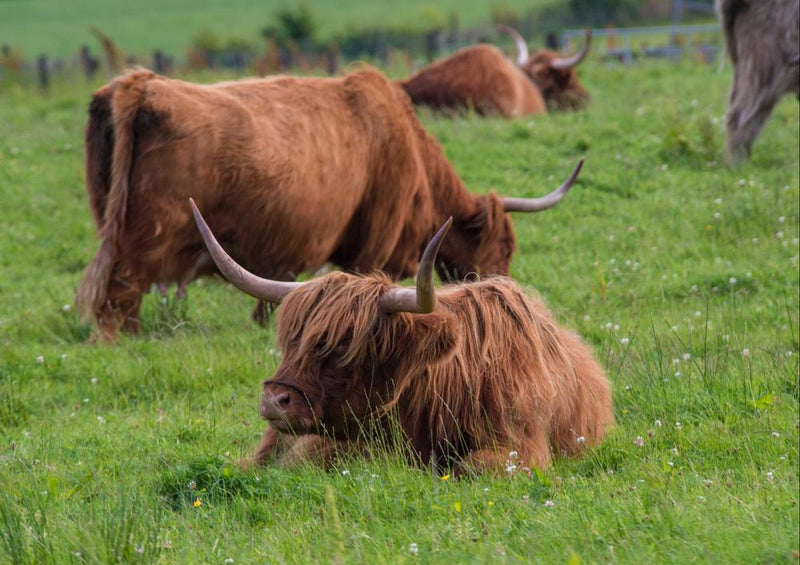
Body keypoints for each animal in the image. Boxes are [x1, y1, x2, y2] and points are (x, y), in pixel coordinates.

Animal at [78, 66, 584, 340]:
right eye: (503, 247)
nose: (513, 299)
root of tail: (140, 84)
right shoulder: (371, 245)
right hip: (143, 240)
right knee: (120, 296)